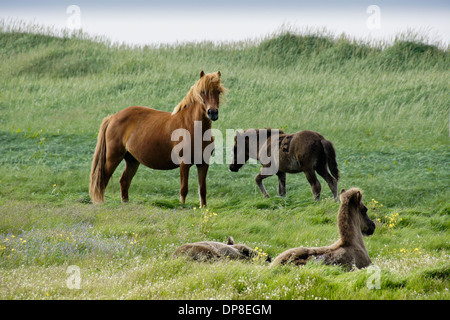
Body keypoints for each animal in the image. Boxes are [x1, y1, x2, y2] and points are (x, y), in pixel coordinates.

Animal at [90, 70, 227, 206]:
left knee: (124, 181)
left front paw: (203, 207)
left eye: (218, 91)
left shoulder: (203, 164)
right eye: (202, 92)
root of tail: (113, 117)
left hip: (132, 161)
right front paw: (182, 206)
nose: (212, 113)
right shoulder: (184, 163)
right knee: (103, 180)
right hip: (113, 157)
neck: (192, 126)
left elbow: (202, 189)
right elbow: (184, 189)